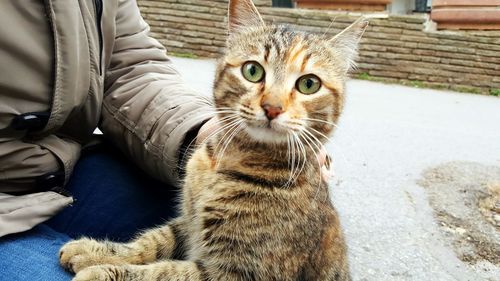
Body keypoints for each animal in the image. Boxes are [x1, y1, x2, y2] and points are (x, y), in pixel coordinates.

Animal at [57, 0, 368, 280]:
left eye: (308, 84)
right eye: (253, 70)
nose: (272, 107)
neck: (227, 160)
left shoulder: (235, 272)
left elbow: (162, 272)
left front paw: (103, 270)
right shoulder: (188, 221)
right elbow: (153, 241)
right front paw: (97, 252)